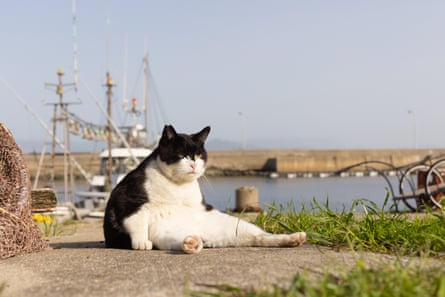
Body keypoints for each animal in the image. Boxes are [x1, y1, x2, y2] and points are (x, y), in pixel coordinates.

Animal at [103, 125, 306, 252]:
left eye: (199, 155)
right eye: (182, 155)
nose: (193, 164)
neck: (177, 186)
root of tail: (205, 235)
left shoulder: (200, 206)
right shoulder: (128, 200)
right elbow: (137, 222)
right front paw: (140, 242)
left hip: (235, 226)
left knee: (260, 237)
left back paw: (293, 238)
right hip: (164, 233)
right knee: (181, 241)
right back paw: (192, 243)